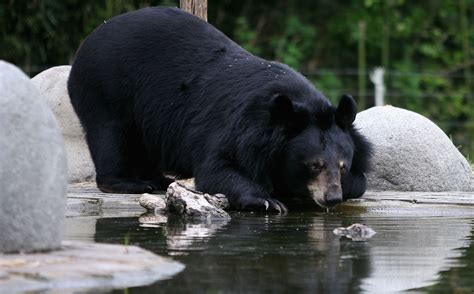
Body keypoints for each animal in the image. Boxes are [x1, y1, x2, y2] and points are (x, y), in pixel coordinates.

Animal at [67, 6, 370, 212]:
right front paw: (268, 200)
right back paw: (134, 182)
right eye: (314, 165)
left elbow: (361, 181)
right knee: (111, 136)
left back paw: (157, 178)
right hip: (106, 88)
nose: (331, 198)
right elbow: (218, 167)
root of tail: (89, 39)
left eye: (342, 166)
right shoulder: (238, 127)